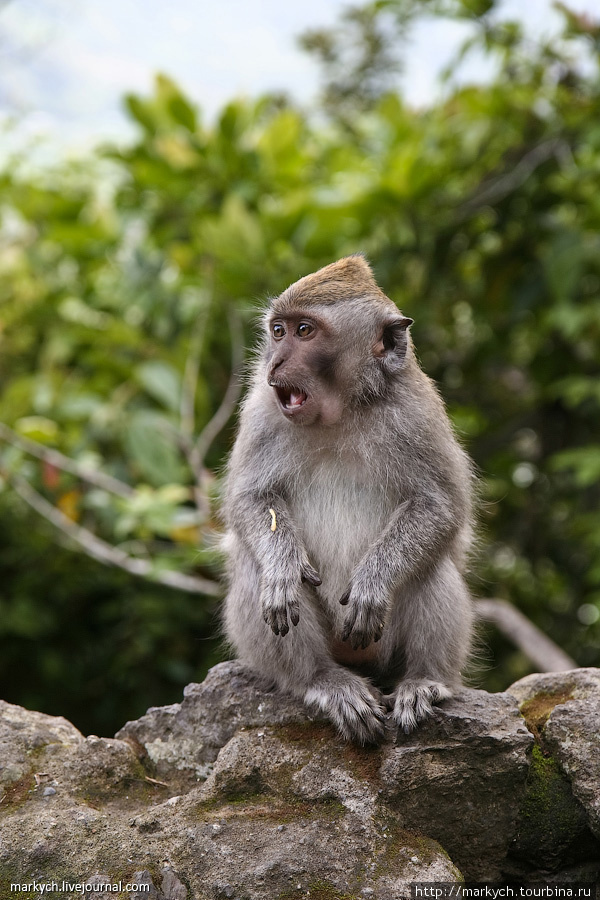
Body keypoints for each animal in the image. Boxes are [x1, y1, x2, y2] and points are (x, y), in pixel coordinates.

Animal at [220, 255, 474, 744]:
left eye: (304, 331)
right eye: (278, 330)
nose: (275, 361)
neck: (338, 412)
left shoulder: (416, 412)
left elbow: (439, 505)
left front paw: (373, 582)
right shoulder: (261, 409)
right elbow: (249, 500)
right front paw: (282, 564)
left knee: (430, 565)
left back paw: (423, 681)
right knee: (257, 568)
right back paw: (325, 680)